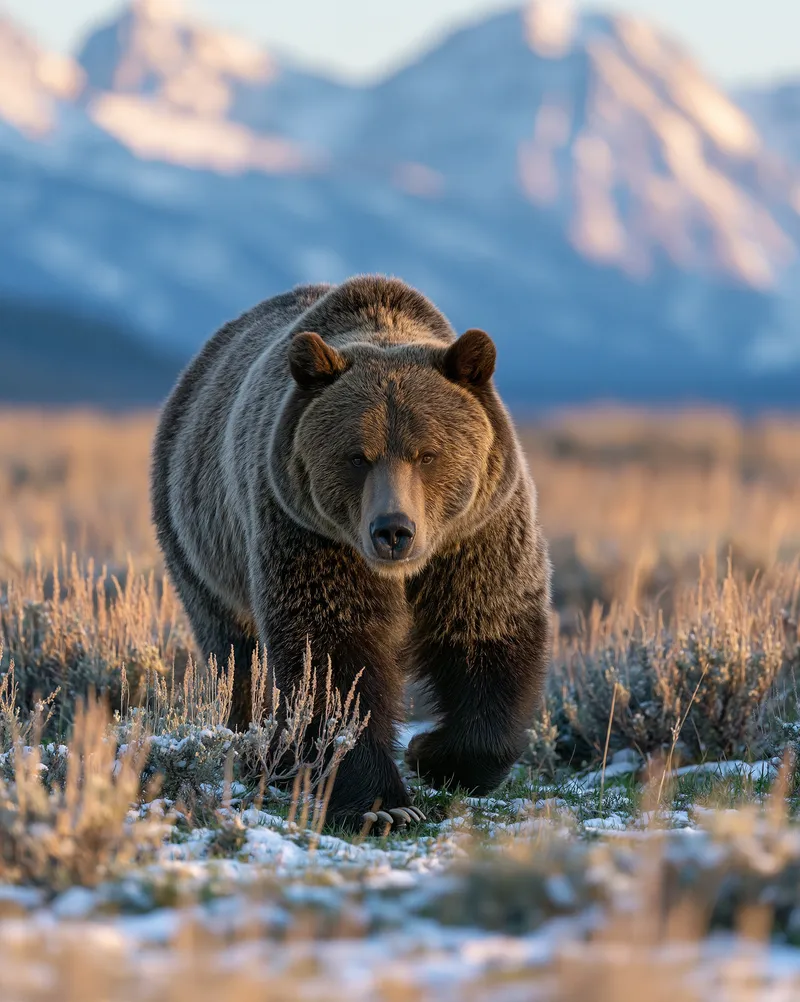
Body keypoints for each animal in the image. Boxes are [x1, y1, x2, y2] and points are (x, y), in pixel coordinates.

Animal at [150, 276, 552, 829]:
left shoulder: (476, 535)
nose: (393, 530)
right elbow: (332, 654)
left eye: (427, 454)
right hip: (199, 540)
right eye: (357, 456)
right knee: (235, 653)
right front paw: (383, 805)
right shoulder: (308, 535)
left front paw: (433, 754)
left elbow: (486, 631)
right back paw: (263, 750)